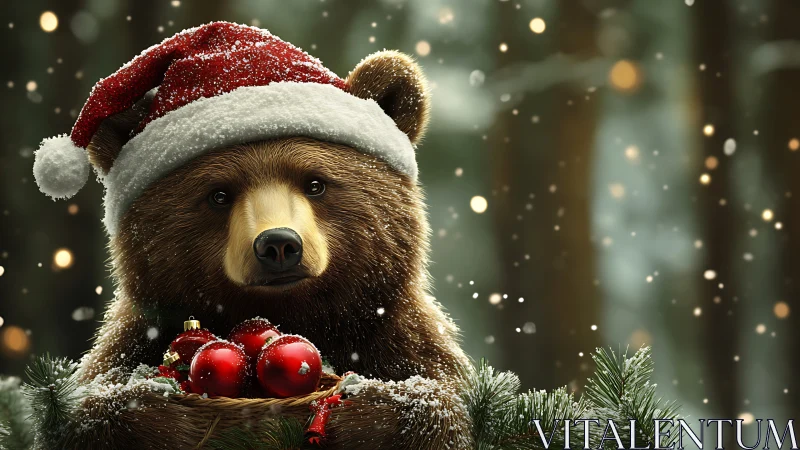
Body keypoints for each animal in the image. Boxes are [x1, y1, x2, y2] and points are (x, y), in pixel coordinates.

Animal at [31, 23, 473, 449]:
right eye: (218, 194)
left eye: (316, 183)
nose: (278, 244)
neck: (304, 314)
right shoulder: (134, 341)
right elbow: (94, 410)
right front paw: (157, 414)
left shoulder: (396, 335)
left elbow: (440, 401)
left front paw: (366, 414)